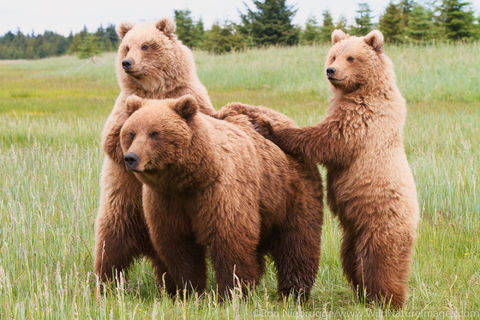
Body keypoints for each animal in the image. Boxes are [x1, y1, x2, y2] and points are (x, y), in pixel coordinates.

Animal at [94, 17, 214, 288]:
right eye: (127, 47)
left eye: (146, 45)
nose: (127, 63)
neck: (155, 88)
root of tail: (145, 245)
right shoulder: (124, 106)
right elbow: (112, 140)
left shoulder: (189, 95)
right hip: (122, 210)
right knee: (110, 249)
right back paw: (104, 284)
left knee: (168, 262)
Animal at [118, 95, 324, 300]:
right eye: (131, 133)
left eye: (154, 133)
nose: (131, 158)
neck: (190, 180)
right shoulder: (166, 201)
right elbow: (179, 247)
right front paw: (187, 290)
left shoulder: (219, 193)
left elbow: (229, 241)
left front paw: (232, 292)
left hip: (290, 192)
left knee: (297, 242)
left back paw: (293, 292)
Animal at [255, 30, 420, 308]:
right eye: (333, 55)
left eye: (350, 57)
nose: (330, 70)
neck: (362, 89)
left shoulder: (364, 118)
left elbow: (329, 138)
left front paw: (268, 128)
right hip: (353, 231)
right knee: (352, 258)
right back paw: (362, 291)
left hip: (381, 218)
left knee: (381, 259)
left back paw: (387, 299)